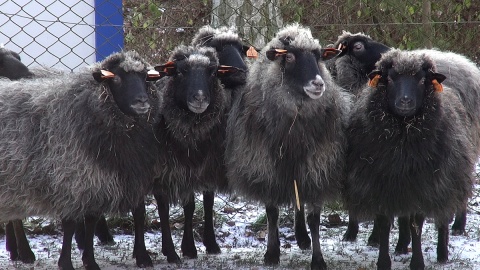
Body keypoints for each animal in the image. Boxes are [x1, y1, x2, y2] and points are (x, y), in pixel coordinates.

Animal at [0, 49, 161, 268]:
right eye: (116, 78)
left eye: (145, 77)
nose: (142, 101)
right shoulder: (72, 178)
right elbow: (70, 223)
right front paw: (66, 263)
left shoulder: (104, 178)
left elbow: (94, 219)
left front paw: (90, 261)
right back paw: (24, 252)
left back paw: (16, 250)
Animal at [225, 24, 352, 268]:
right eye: (290, 57)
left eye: (319, 57)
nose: (318, 84)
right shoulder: (265, 166)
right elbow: (272, 212)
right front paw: (272, 253)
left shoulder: (317, 166)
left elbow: (314, 218)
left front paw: (318, 259)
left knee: (298, 200)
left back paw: (302, 237)